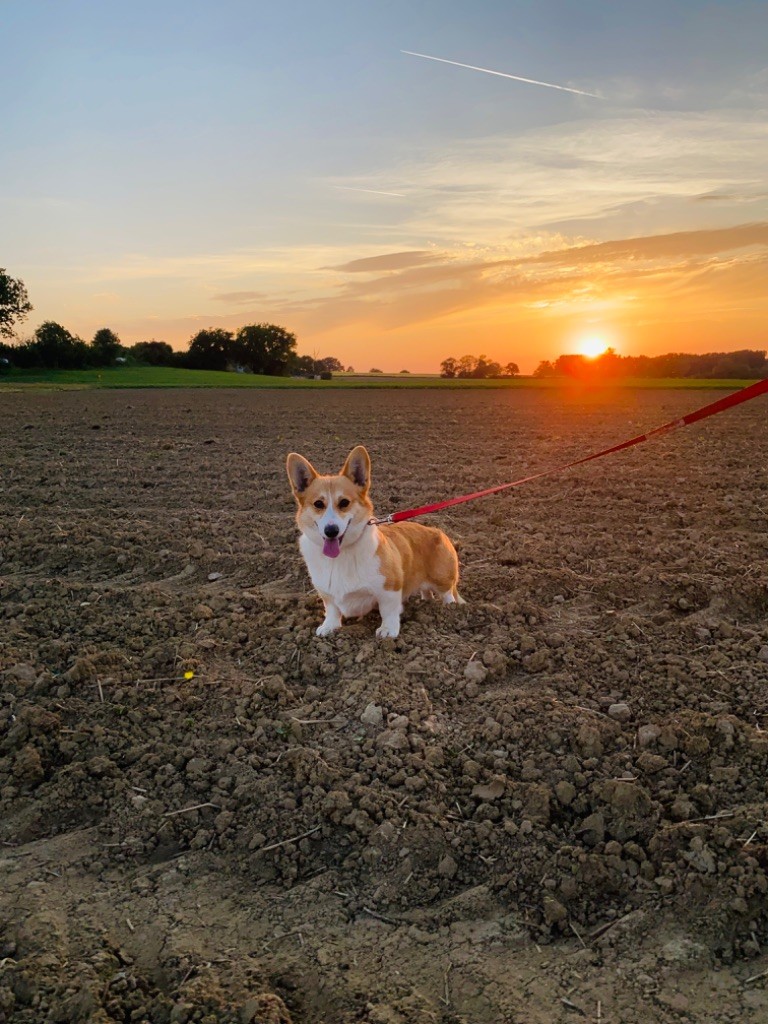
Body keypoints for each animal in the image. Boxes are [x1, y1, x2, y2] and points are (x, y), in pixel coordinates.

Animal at [286, 444, 462, 634]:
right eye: (318, 504)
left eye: (344, 502)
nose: (331, 531)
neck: (341, 555)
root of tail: (438, 531)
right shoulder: (326, 592)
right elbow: (332, 609)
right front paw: (329, 627)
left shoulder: (390, 588)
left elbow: (388, 610)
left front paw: (388, 630)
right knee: (426, 592)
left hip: (442, 579)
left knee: (447, 594)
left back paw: (449, 610)